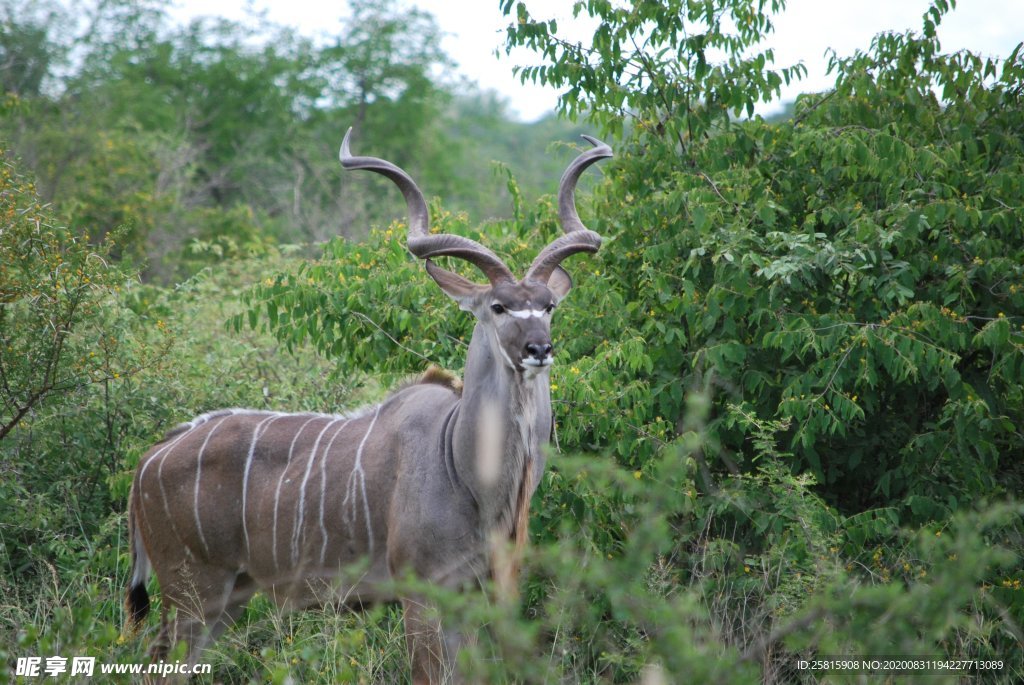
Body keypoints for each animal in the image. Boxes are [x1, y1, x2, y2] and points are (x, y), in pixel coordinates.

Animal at [123, 127, 610, 679]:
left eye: (548, 306)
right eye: (499, 306)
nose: (538, 348)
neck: (464, 467)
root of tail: (149, 459)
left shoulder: (468, 593)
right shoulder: (422, 594)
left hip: (229, 599)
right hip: (194, 593)